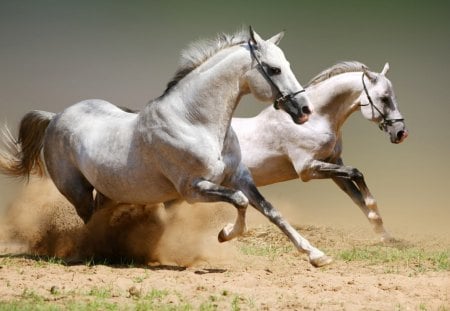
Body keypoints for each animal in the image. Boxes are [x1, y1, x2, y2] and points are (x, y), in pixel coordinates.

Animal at [0, 28, 338, 268]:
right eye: (274, 69)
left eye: (286, 64)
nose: (304, 109)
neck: (195, 121)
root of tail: (56, 116)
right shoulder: (192, 189)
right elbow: (240, 203)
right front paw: (224, 234)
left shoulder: (240, 177)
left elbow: (271, 212)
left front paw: (316, 255)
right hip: (77, 191)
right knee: (88, 221)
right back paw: (95, 252)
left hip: (109, 191)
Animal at [232, 61, 408, 241]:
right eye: (384, 98)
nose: (401, 133)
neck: (313, 121)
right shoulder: (307, 169)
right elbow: (356, 173)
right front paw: (375, 214)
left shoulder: (333, 164)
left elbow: (357, 196)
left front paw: (384, 234)